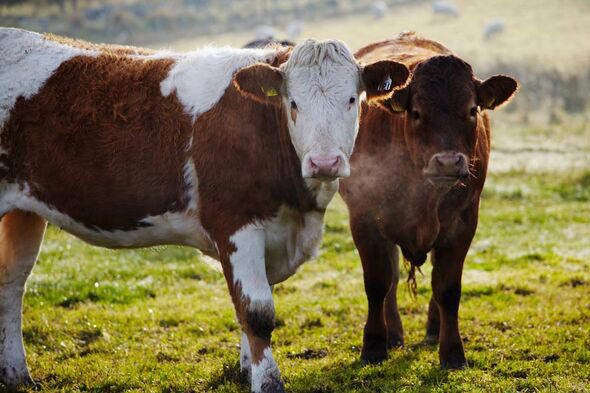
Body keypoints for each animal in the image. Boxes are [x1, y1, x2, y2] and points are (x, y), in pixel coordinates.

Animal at [342, 33, 520, 368]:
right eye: (416, 112)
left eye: (472, 110)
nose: (448, 162)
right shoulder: (364, 217)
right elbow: (377, 283)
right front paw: (374, 345)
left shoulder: (463, 222)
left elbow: (447, 288)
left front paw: (452, 352)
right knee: (392, 278)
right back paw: (394, 333)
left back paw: (435, 328)